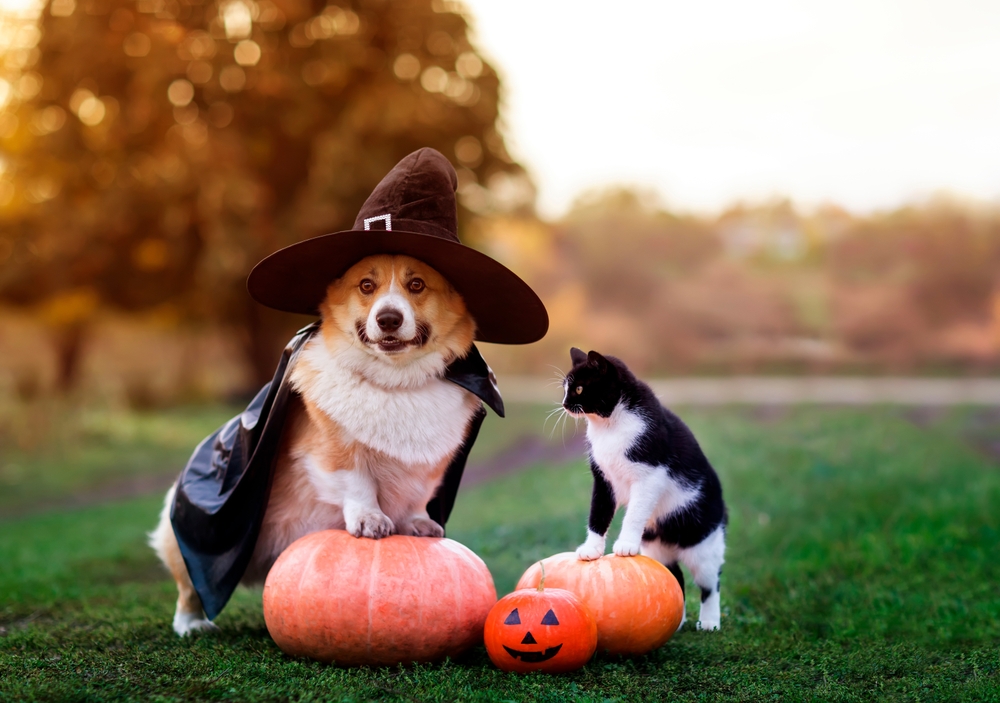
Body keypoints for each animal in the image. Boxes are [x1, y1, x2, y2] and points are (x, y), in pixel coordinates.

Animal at [148, 254, 480, 640]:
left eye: (417, 285)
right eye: (366, 285)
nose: (388, 319)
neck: (395, 383)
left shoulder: (427, 467)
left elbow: (416, 498)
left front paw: (418, 524)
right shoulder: (333, 452)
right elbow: (358, 483)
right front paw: (369, 519)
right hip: (187, 540)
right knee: (189, 589)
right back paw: (192, 625)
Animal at [564, 350, 728, 628]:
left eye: (578, 388)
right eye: (565, 388)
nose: (564, 404)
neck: (610, 426)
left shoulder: (651, 476)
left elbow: (635, 513)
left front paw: (625, 544)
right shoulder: (604, 480)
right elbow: (598, 514)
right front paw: (592, 550)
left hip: (704, 543)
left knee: (710, 583)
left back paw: (709, 622)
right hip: (656, 549)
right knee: (673, 577)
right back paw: (677, 623)